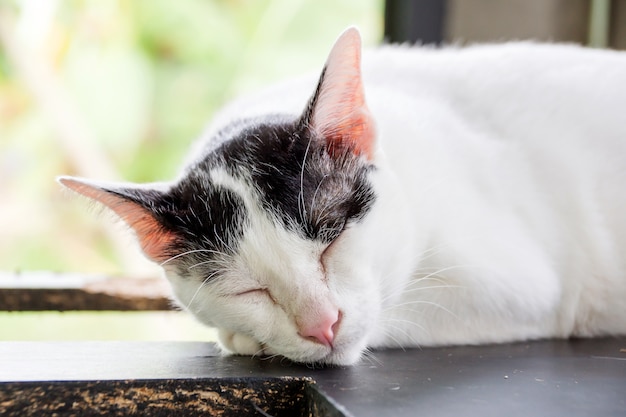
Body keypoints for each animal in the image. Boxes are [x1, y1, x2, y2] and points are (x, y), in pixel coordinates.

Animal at [59, 27, 624, 364]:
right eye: (248, 290)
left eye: (333, 244)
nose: (322, 325)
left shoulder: (524, 287)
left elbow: (387, 316)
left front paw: (244, 340)